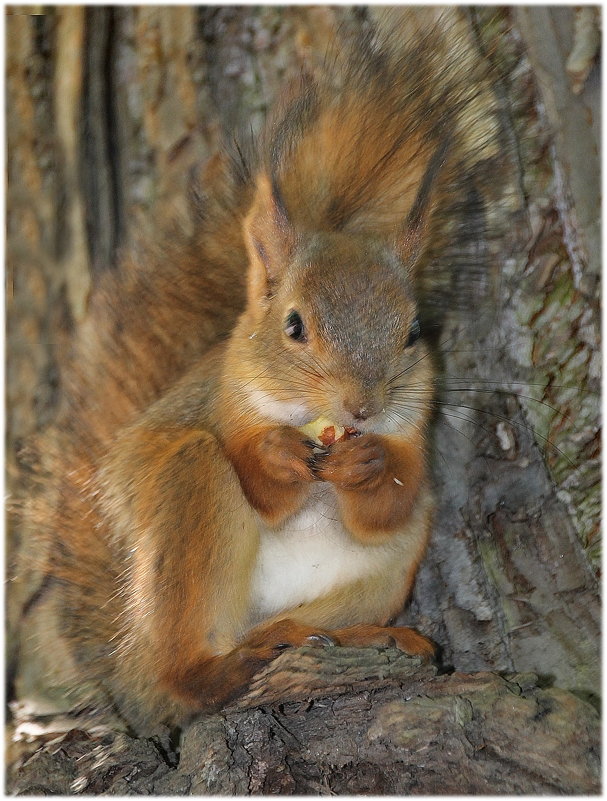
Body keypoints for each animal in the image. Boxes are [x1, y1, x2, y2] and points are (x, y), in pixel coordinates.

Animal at [17, 7, 504, 732]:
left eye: (413, 332)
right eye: (293, 325)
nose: (360, 407)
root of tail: (131, 666)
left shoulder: (411, 430)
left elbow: (390, 498)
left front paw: (366, 466)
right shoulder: (225, 403)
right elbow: (260, 479)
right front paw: (277, 455)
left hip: (381, 574)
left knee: (306, 618)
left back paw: (363, 636)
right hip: (189, 501)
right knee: (184, 673)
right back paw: (216, 669)